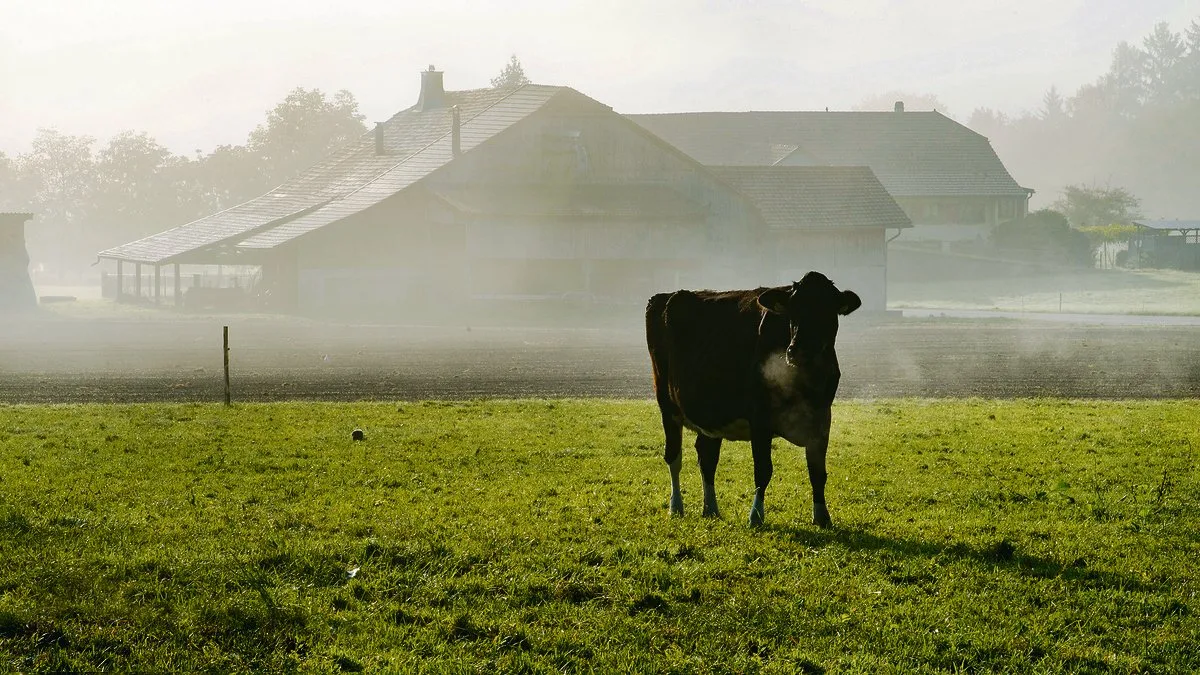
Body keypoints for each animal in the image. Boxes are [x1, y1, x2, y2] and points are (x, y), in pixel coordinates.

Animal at [645, 271, 861, 528]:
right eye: (792, 309)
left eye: (828, 311)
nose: (798, 351)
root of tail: (663, 296)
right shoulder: (760, 419)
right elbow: (763, 470)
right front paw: (756, 515)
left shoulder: (822, 419)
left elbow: (817, 472)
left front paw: (822, 516)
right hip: (667, 405)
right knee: (674, 457)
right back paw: (676, 506)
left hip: (711, 413)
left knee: (707, 458)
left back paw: (711, 509)